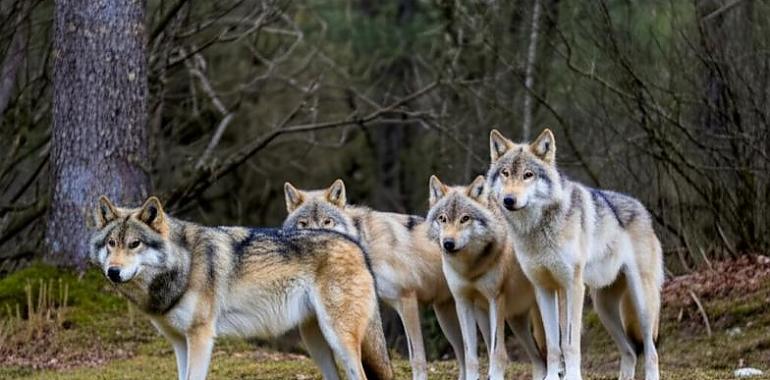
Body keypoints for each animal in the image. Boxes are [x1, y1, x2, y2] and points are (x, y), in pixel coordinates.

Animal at [87, 196, 392, 380]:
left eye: (134, 244)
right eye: (111, 244)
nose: (113, 272)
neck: (184, 264)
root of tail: (356, 246)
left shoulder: (201, 338)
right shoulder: (179, 342)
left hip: (339, 337)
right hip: (315, 341)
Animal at [282, 180, 462, 380]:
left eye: (327, 221)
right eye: (303, 223)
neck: (365, 243)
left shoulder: (407, 301)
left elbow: (417, 358)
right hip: (446, 314)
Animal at [424, 175, 544, 380]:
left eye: (465, 218)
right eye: (443, 219)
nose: (448, 243)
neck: (470, 269)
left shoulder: (496, 298)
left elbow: (497, 352)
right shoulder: (462, 302)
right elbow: (470, 355)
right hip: (509, 319)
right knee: (538, 360)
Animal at [486, 128, 660, 380]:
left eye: (528, 175)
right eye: (505, 173)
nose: (509, 200)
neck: (537, 229)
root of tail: (643, 209)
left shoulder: (573, 286)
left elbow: (569, 343)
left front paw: (572, 376)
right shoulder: (544, 289)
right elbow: (552, 344)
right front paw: (551, 376)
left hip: (642, 306)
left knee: (651, 350)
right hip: (604, 309)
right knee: (629, 351)